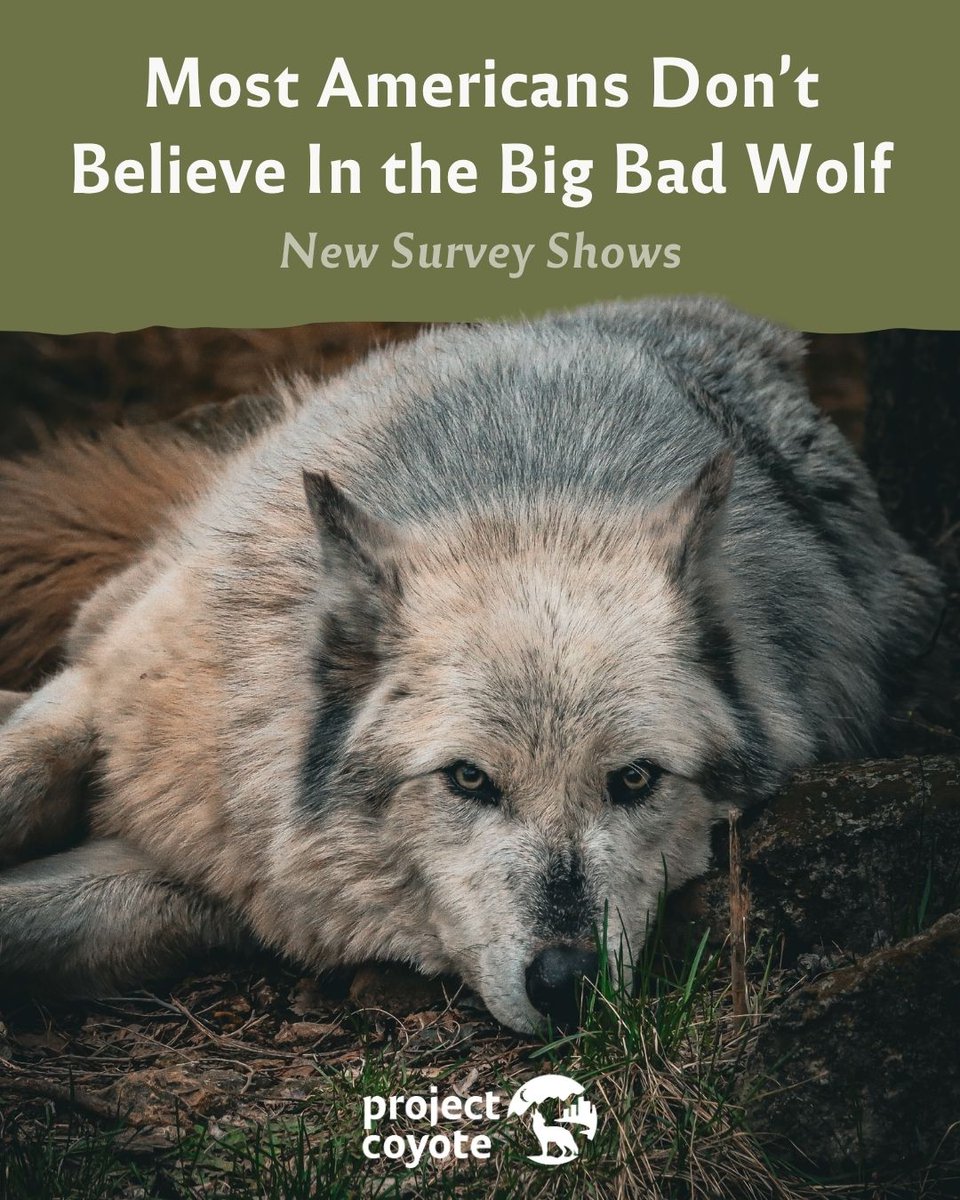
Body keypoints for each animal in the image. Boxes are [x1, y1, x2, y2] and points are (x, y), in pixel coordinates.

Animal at [0, 299, 942, 1034]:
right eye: (467, 780)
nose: (567, 984)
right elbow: (28, 764)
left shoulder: (215, 885)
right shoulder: (127, 702)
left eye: (635, 781)